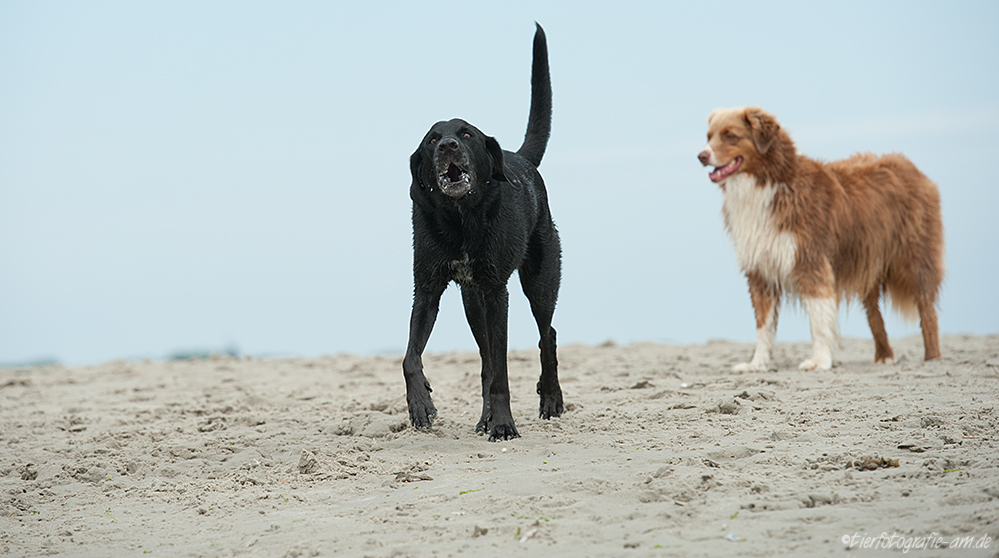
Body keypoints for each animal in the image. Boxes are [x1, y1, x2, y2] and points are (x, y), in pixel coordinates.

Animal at [404, 24, 564, 444]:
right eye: (431, 139)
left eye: (466, 134)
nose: (447, 145)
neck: (461, 219)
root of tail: (519, 156)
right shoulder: (427, 290)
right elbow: (411, 356)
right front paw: (420, 404)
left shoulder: (497, 292)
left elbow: (503, 373)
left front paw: (504, 424)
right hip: (472, 303)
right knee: (486, 359)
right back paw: (484, 418)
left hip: (540, 280)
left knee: (547, 334)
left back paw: (550, 399)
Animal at [700, 109, 940, 372]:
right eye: (709, 136)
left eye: (730, 136)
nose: (701, 156)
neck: (768, 185)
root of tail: (910, 166)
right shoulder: (760, 271)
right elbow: (763, 326)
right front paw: (757, 364)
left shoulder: (810, 260)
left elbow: (818, 319)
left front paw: (820, 360)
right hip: (867, 262)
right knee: (874, 312)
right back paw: (884, 356)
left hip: (914, 257)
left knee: (927, 308)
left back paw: (932, 358)